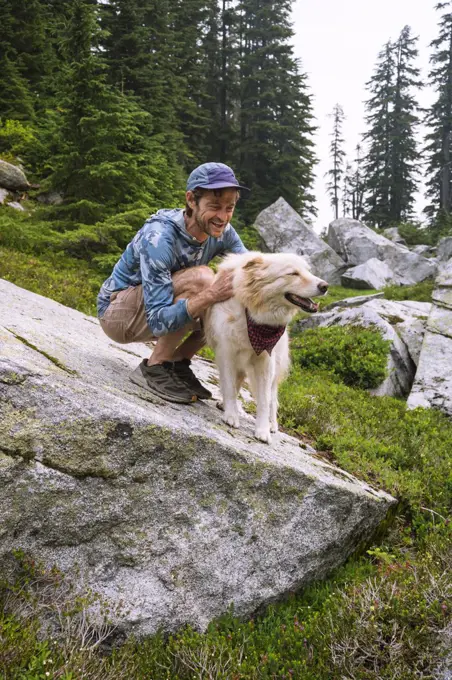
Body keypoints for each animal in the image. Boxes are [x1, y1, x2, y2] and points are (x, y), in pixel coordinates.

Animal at [205, 252, 328, 444]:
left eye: (308, 271)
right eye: (293, 273)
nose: (325, 286)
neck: (253, 313)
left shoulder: (265, 361)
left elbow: (264, 400)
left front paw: (262, 430)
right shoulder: (227, 353)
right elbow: (230, 387)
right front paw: (231, 415)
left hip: (274, 368)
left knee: (273, 399)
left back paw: (272, 425)